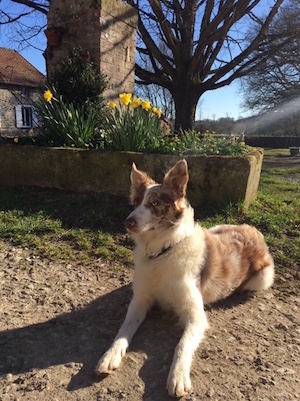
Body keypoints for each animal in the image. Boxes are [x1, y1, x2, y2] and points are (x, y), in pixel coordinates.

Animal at [95, 159, 274, 396]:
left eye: (154, 203)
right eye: (135, 203)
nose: (128, 222)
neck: (161, 252)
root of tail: (252, 228)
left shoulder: (196, 315)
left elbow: (182, 345)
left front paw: (178, 376)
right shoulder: (141, 300)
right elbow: (123, 330)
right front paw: (110, 355)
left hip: (263, 278)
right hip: (214, 229)